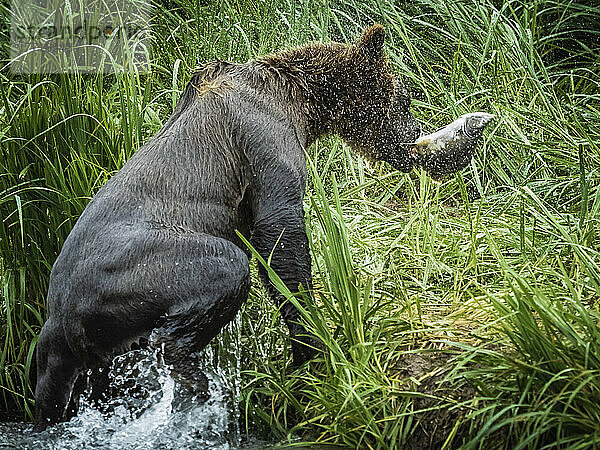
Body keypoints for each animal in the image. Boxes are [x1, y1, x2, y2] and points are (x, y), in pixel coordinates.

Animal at [34, 24, 422, 432]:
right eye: (405, 99)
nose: (417, 133)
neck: (302, 102)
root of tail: (61, 315)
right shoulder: (264, 140)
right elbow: (280, 235)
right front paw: (313, 346)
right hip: (138, 270)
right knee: (223, 270)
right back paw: (193, 381)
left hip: (70, 355)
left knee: (68, 389)